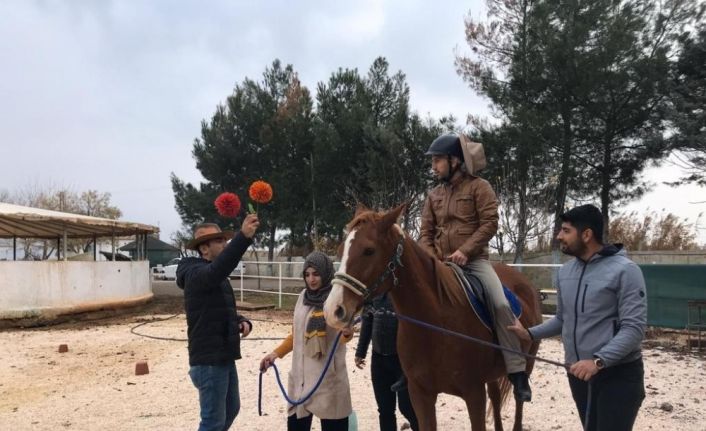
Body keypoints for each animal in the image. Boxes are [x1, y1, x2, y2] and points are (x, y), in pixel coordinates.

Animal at [322, 203, 540, 431]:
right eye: (340, 251)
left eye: (369, 251)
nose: (333, 309)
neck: (437, 324)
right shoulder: (421, 395)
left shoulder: (474, 394)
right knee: (496, 398)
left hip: (528, 362)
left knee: (518, 400)